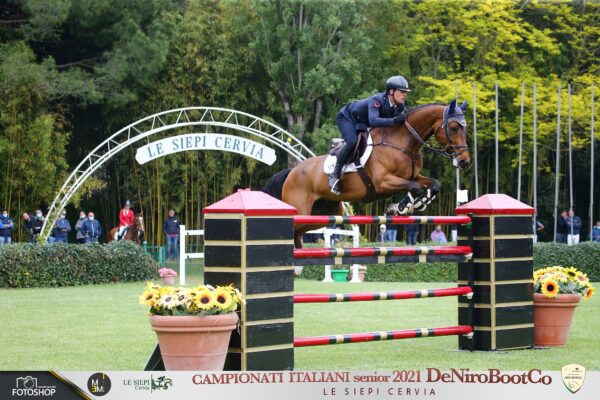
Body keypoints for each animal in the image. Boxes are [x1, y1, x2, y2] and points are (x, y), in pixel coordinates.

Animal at [262, 97, 468, 247]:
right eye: (453, 127)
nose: (464, 161)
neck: (403, 143)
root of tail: (293, 171)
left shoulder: (413, 175)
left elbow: (432, 184)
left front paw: (419, 202)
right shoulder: (383, 182)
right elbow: (414, 186)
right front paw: (401, 206)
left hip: (324, 213)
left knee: (300, 231)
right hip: (301, 208)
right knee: (293, 229)